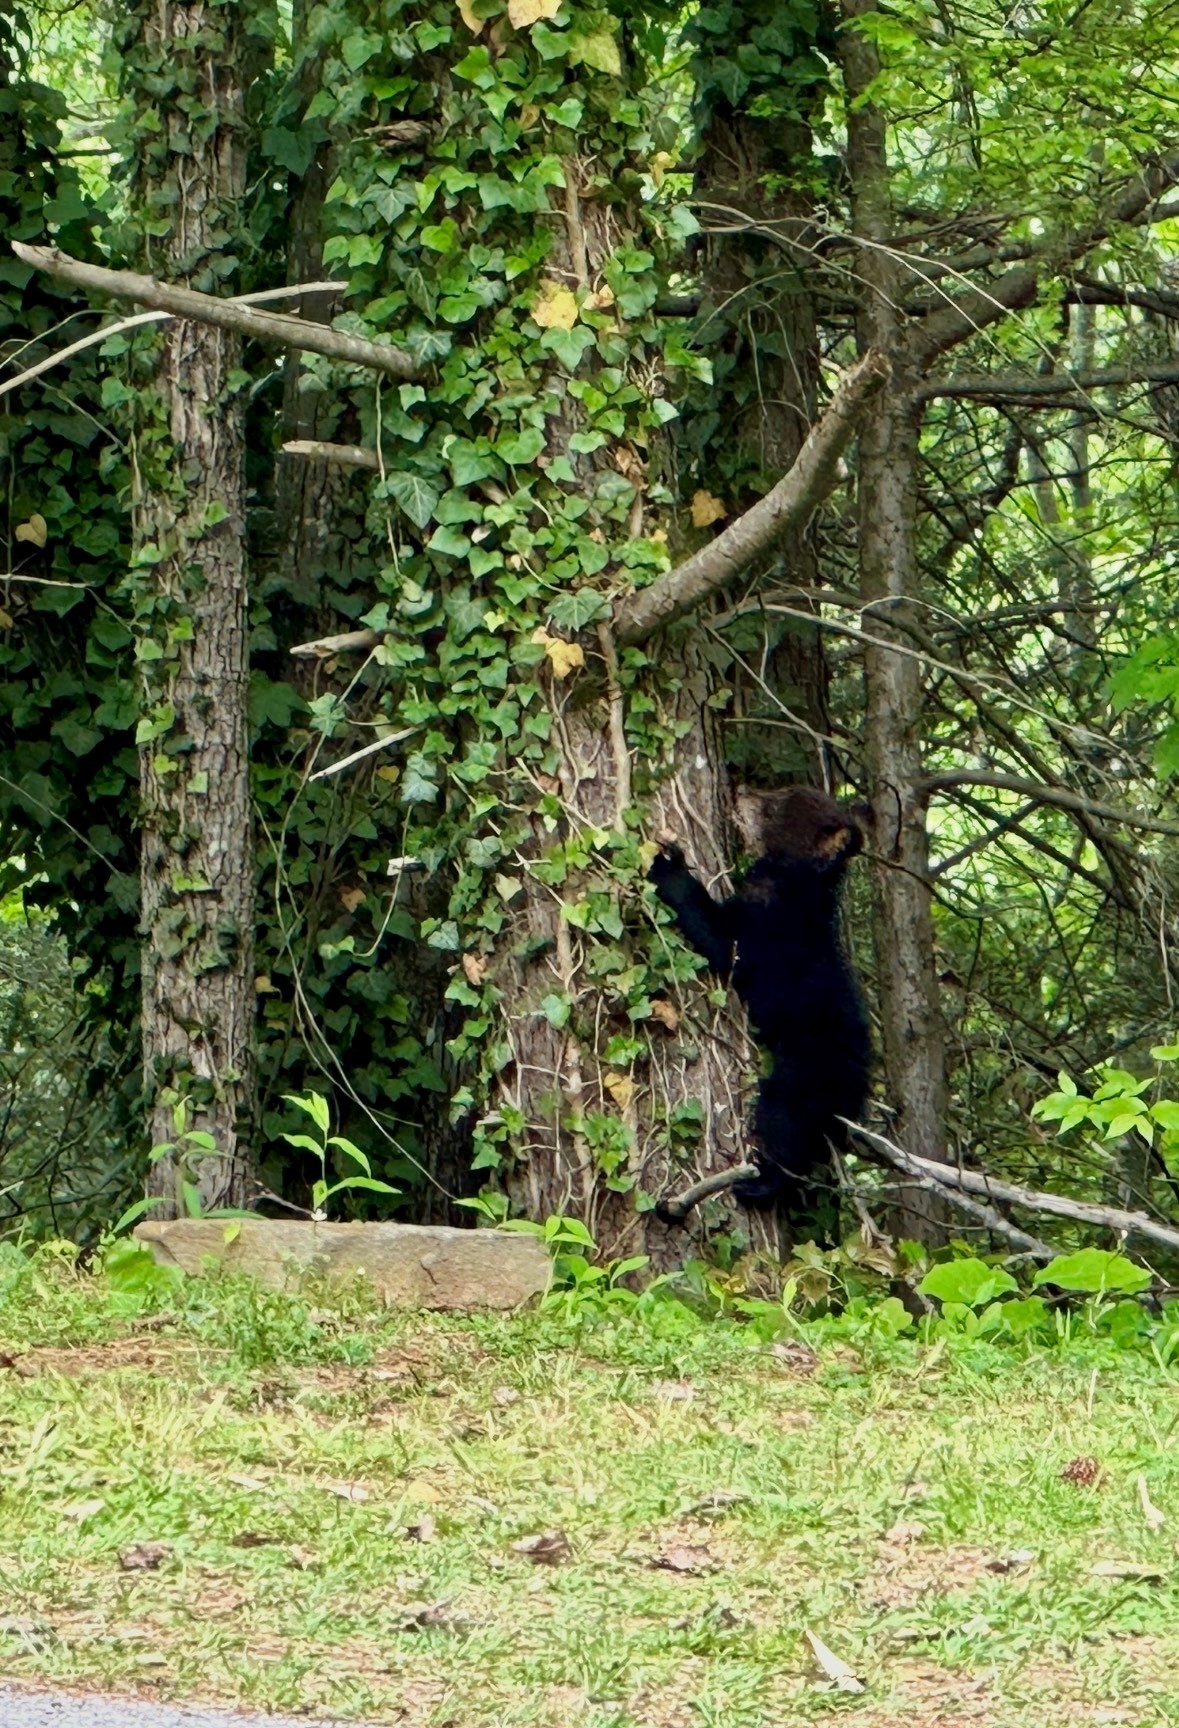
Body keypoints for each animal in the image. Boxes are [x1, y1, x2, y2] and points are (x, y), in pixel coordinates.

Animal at [648, 785, 870, 1212]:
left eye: (776, 803)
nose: (741, 791)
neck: (795, 882)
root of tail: (856, 1087)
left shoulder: (766, 926)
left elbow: (723, 943)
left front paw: (668, 866)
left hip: (802, 1076)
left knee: (783, 1124)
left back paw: (759, 1183)